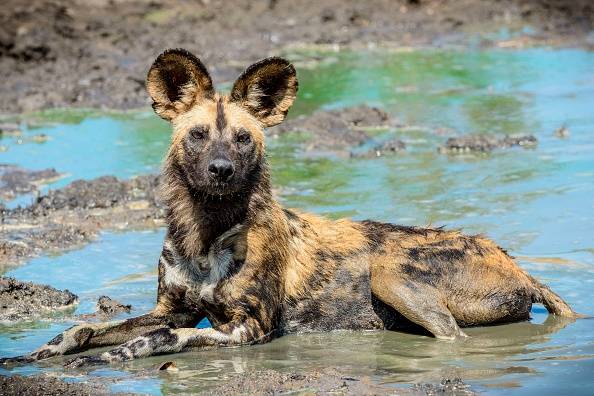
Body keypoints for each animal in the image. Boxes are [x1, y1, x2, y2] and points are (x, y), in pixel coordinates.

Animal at [0, 49, 572, 368]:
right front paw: (42, 351)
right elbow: (85, 329)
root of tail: (515, 263)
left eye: (243, 138)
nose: (221, 170)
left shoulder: (248, 329)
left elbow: (159, 337)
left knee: (453, 339)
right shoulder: (174, 308)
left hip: (389, 271)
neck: (205, 232)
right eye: (198, 135)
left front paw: (117, 355)